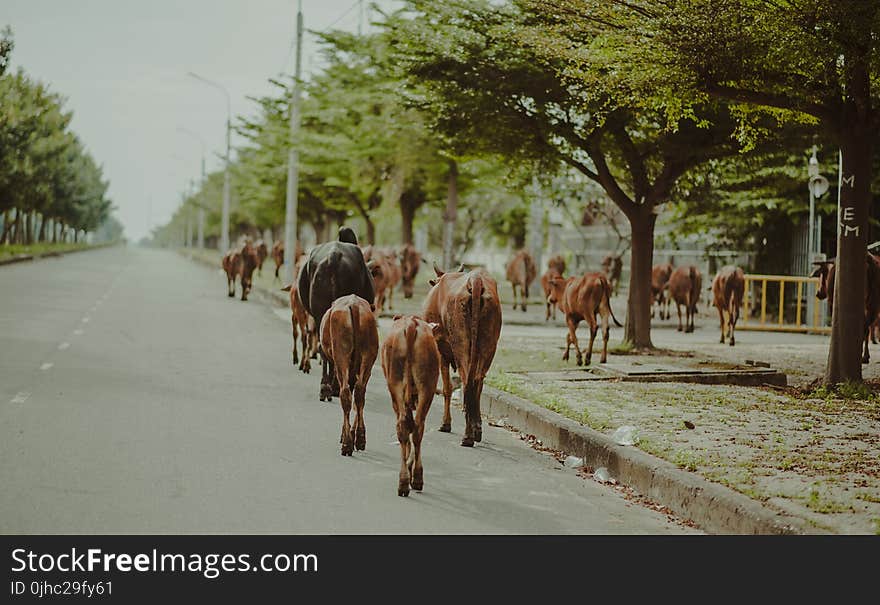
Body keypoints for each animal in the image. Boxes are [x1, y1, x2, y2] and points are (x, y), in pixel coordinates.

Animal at [322, 294, 380, 456]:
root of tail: (353, 305)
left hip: (341, 356)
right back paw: (359, 438)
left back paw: (347, 443)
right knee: (360, 393)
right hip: (368, 357)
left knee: (346, 393)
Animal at [382, 316, 444, 496]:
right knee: (416, 428)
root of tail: (411, 323)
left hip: (397, 385)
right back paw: (411, 478)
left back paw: (408, 480)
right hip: (426, 387)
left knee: (405, 426)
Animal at [424, 266, 502, 446]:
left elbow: (447, 388)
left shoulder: (441, 351)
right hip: (488, 345)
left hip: (460, 344)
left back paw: (467, 436)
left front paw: (445, 424)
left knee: (467, 382)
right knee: (477, 382)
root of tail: (475, 279)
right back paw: (475, 430)